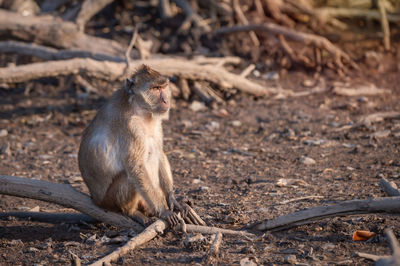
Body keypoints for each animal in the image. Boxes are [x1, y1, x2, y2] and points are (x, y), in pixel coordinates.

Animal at [77, 64, 203, 227]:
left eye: (164, 87)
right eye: (155, 88)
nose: (165, 100)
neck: (139, 109)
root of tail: (95, 199)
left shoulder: (156, 122)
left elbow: (159, 153)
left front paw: (173, 200)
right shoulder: (129, 126)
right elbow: (136, 167)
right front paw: (163, 210)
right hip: (109, 200)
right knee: (128, 176)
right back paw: (133, 212)